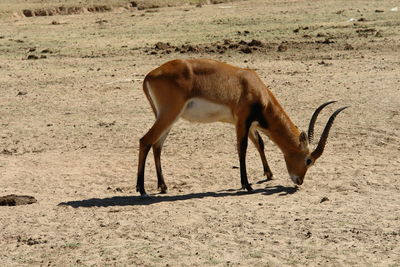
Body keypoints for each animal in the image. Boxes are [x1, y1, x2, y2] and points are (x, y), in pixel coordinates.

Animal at [136, 58, 348, 197]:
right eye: (308, 160)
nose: (299, 181)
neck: (254, 87)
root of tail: (150, 75)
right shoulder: (242, 121)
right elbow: (243, 148)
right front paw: (247, 185)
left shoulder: (250, 124)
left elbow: (260, 143)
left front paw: (269, 174)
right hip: (169, 115)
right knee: (145, 140)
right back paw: (142, 190)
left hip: (169, 118)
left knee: (157, 145)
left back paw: (163, 186)